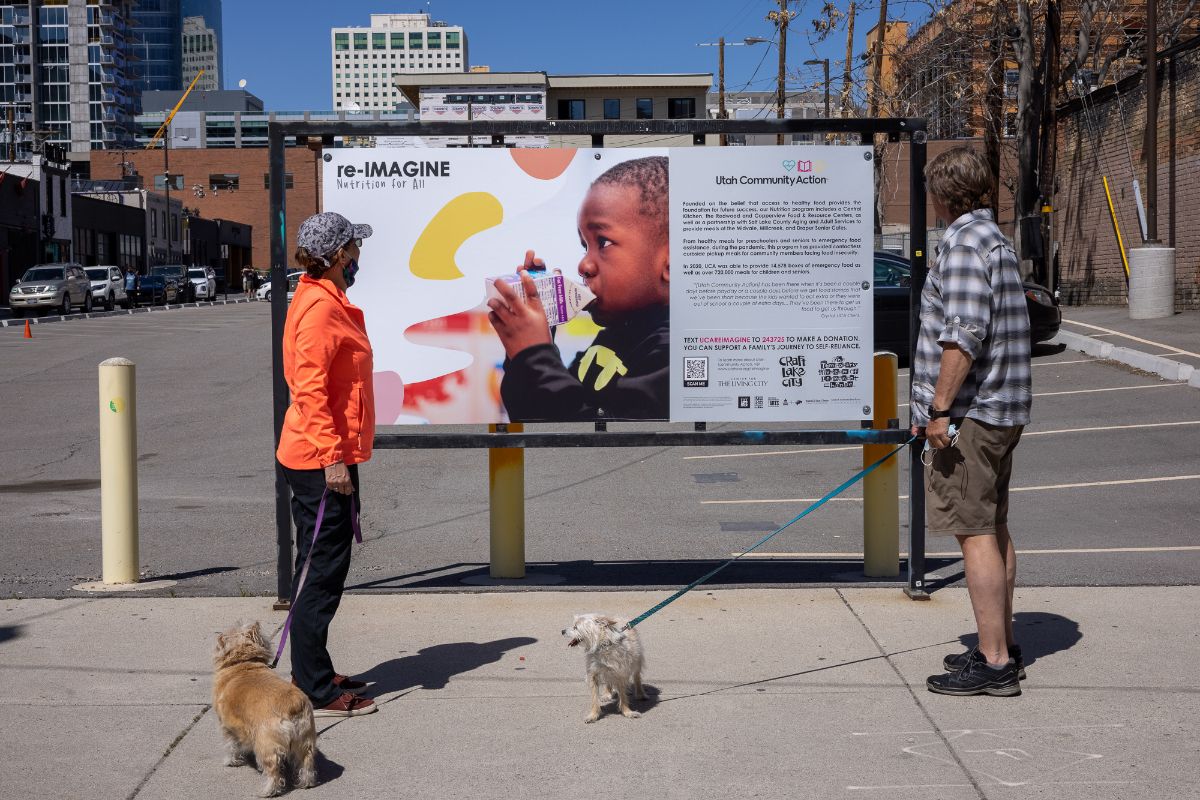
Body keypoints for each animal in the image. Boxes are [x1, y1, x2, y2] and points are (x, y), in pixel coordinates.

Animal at [213, 623, 319, 796]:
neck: (243, 664)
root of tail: (293, 705)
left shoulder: (226, 727)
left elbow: (231, 746)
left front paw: (230, 761)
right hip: (305, 740)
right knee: (306, 763)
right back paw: (306, 782)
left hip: (266, 745)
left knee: (274, 771)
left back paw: (268, 790)